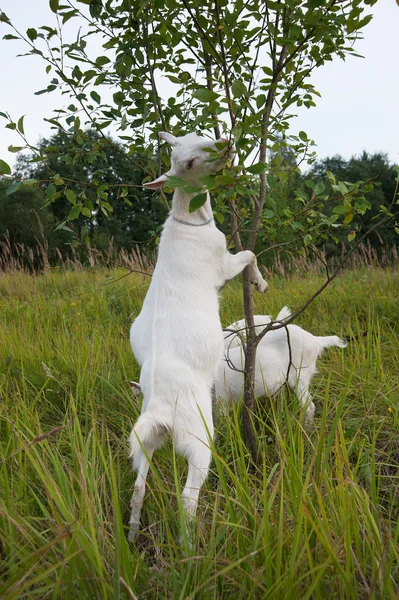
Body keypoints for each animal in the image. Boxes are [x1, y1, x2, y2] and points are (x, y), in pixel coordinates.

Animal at [130, 131, 270, 544]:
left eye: (194, 135)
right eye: (189, 163)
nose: (225, 143)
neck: (189, 222)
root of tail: (160, 411)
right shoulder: (222, 264)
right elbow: (249, 253)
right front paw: (261, 283)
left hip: (145, 442)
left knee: (139, 488)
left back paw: (132, 537)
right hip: (198, 441)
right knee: (188, 497)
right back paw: (191, 546)